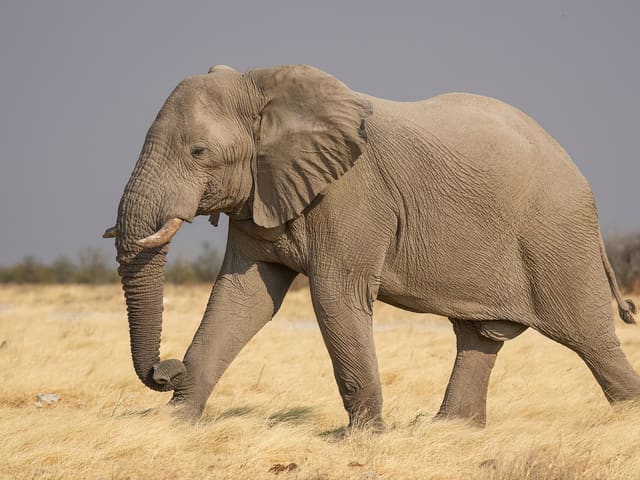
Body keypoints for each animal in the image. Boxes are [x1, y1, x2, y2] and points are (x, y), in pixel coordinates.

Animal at [104, 64, 640, 428]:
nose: (166, 370)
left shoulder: (354, 196)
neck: (265, 85)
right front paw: (174, 426)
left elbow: (334, 297)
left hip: (557, 236)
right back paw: (447, 429)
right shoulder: (263, 192)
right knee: (479, 336)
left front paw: (362, 438)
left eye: (199, 152)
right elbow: (242, 298)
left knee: (590, 338)